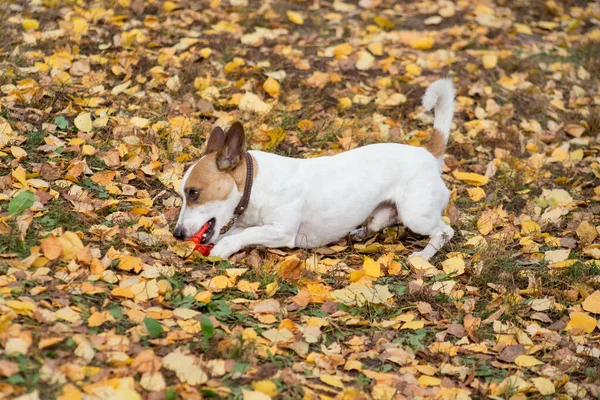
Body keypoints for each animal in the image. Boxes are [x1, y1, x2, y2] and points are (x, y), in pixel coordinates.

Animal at [173, 78, 454, 260]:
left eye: (194, 193)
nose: (176, 234)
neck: (255, 185)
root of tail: (428, 153)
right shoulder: (242, 225)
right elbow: (231, 233)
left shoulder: (281, 231)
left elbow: (242, 236)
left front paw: (225, 248)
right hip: (384, 213)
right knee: (382, 223)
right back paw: (361, 232)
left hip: (416, 215)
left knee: (444, 231)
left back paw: (424, 256)